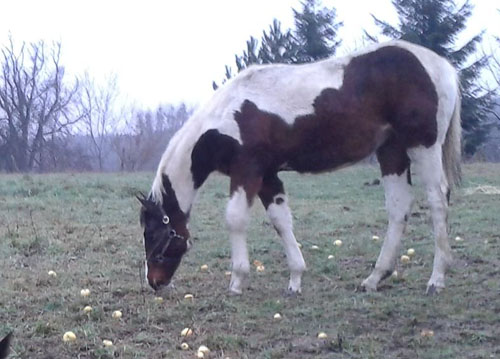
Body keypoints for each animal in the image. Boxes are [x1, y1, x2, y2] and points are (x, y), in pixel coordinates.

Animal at [138, 40, 460, 296]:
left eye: (153, 234)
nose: (154, 281)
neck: (227, 116)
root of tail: (442, 66)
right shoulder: (267, 177)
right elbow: (281, 221)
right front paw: (295, 279)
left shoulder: (247, 171)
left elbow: (235, 219)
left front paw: (237, 282)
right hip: (391, 152)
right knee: (398, 207)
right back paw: (374, 278)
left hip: (423, 146)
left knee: (437, 200)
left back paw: (436, 279)